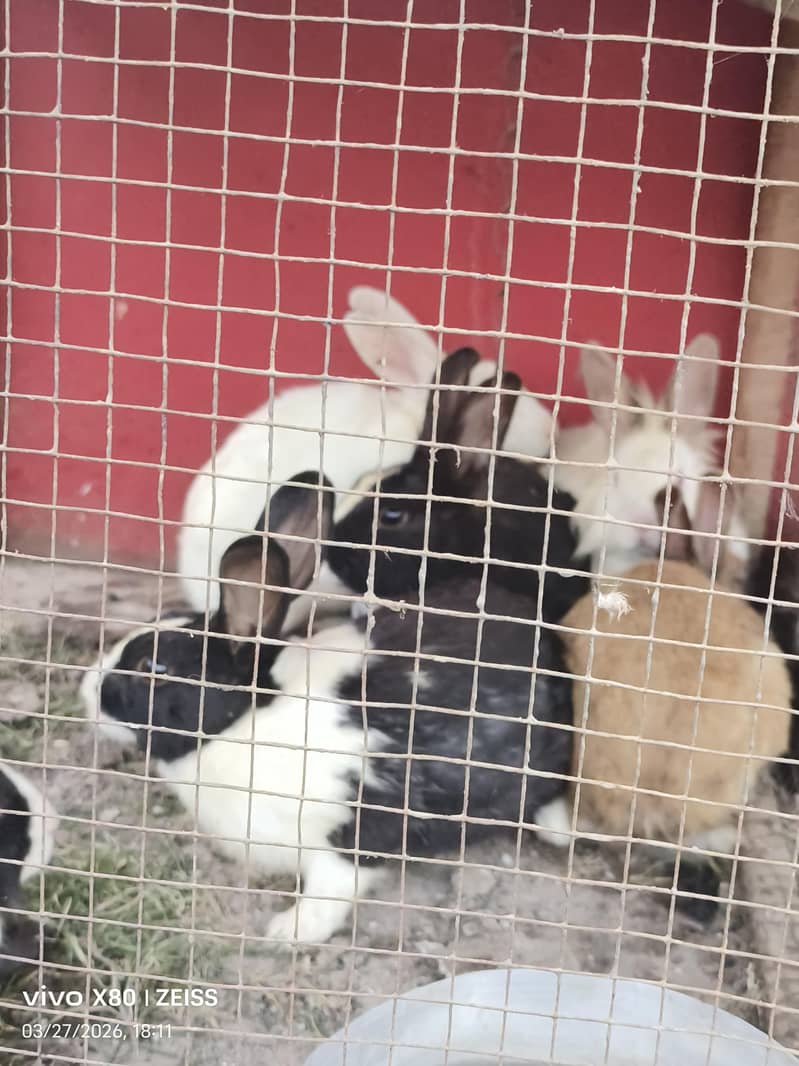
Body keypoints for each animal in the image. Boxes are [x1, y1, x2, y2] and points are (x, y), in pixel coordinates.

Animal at [86, 474, 574, 945]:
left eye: (153, 667)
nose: (87, 690)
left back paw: (560, 831)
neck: (245, 722)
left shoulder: (348, 835)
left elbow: (328, 895)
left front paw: (285, 934)